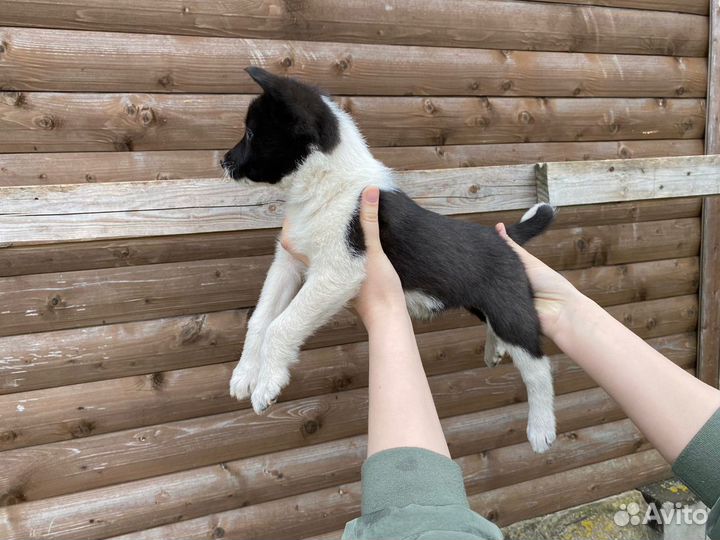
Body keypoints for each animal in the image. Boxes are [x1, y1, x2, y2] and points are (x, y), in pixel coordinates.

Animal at [224, 68, 556, 456]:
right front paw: (245, 375)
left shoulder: (336, 272)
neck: (328, 185)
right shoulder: (287, 263)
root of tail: (501, 237)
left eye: (251, 133)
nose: (224, 162)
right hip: (483, 304)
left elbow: (282, 325)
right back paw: (495, 349)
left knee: (538, 367)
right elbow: (260, 320)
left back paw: (541, 427)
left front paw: (268, 384)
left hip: (510, 310)